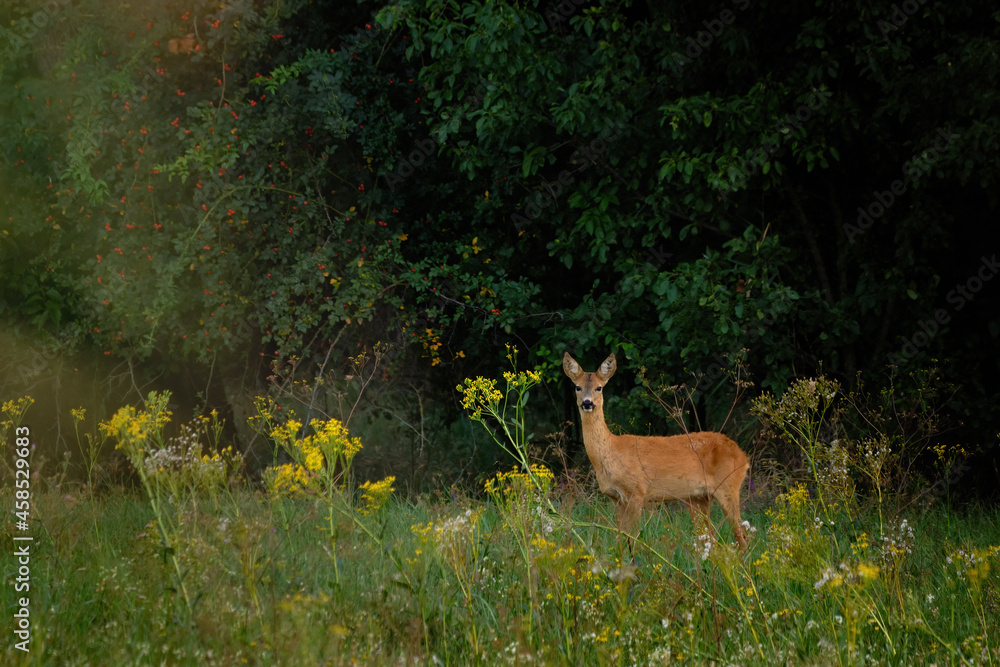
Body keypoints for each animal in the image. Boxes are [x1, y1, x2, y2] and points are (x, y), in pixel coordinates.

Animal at [563, 352, 749, 552]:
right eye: (577, 387)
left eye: (599, 387)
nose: (587, 403)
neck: (610, 452)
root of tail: (743, 455)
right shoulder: (615, 498)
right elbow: (620, 539)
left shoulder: (637, 491)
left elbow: (632, 538)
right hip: (698, 497)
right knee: (711, 538)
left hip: (728, 486)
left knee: (742, 536)